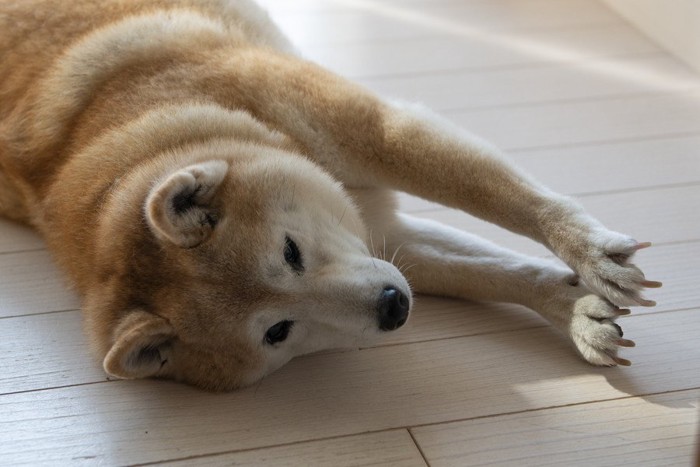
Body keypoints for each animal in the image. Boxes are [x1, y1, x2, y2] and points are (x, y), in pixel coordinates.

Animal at [0, 0, 660, 392]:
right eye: (277, 332)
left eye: (290, 252)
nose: (394, 307)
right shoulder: (385, 241)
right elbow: (494, 271)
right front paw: (574, 309)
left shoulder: (382, 135)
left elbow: (509, 200)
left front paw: (590, 256)